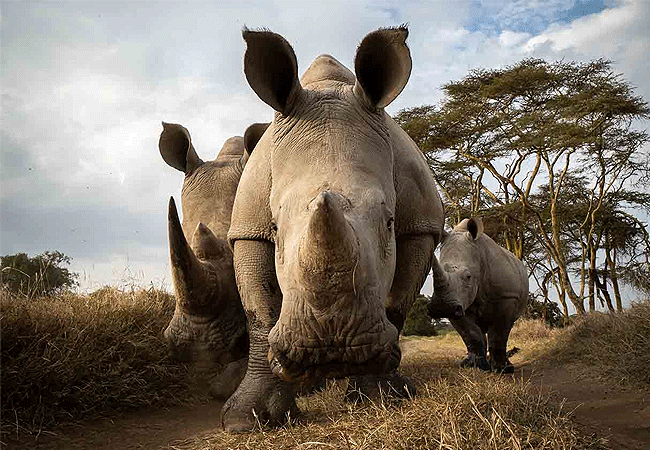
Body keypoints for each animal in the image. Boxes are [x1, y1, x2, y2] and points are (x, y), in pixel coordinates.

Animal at [222, 26, 445, 431]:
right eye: (274, 226)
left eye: (390, 222)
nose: (333, 349)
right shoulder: (247, 226)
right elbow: (259, 312)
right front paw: (246, 421)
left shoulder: (422, 223)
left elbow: (398, 303)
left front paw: (382, 398)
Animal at [428, 217, 528, 373]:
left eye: (468, 277)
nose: (441, 308)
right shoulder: (459, 304)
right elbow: (471, 334)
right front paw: (473, 366)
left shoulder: (507, 297)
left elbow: (499, 335)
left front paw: (502, 369)